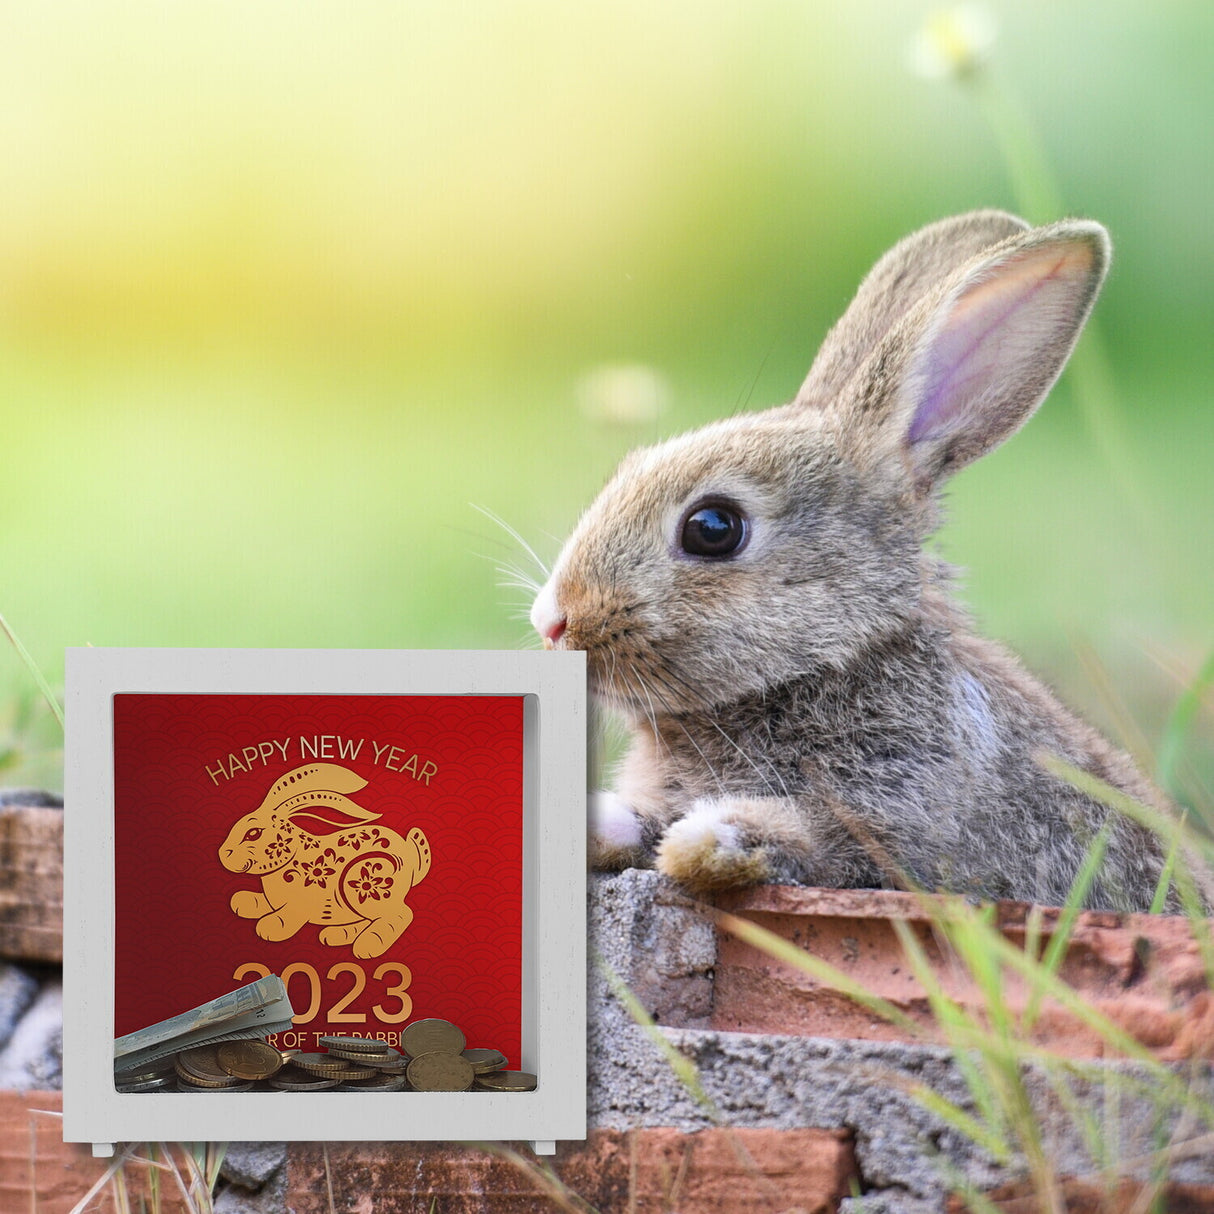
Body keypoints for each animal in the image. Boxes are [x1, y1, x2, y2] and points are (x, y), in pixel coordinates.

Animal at [218, 762, 432, 958]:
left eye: (253, 833)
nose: (222, 854)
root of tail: (410, 857)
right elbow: (258, 902)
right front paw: (242, 901)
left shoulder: (300, 906)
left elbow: (285, 917)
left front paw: (270, 927)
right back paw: (337, 934)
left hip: (363, 886)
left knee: (401, 914)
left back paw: (368, 945)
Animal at [530, 209, 1182, 912]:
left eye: (713, 528)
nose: (553, 622)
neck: (826, 663)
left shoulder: (895, 824)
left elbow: (804, 841)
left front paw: (709, 840)